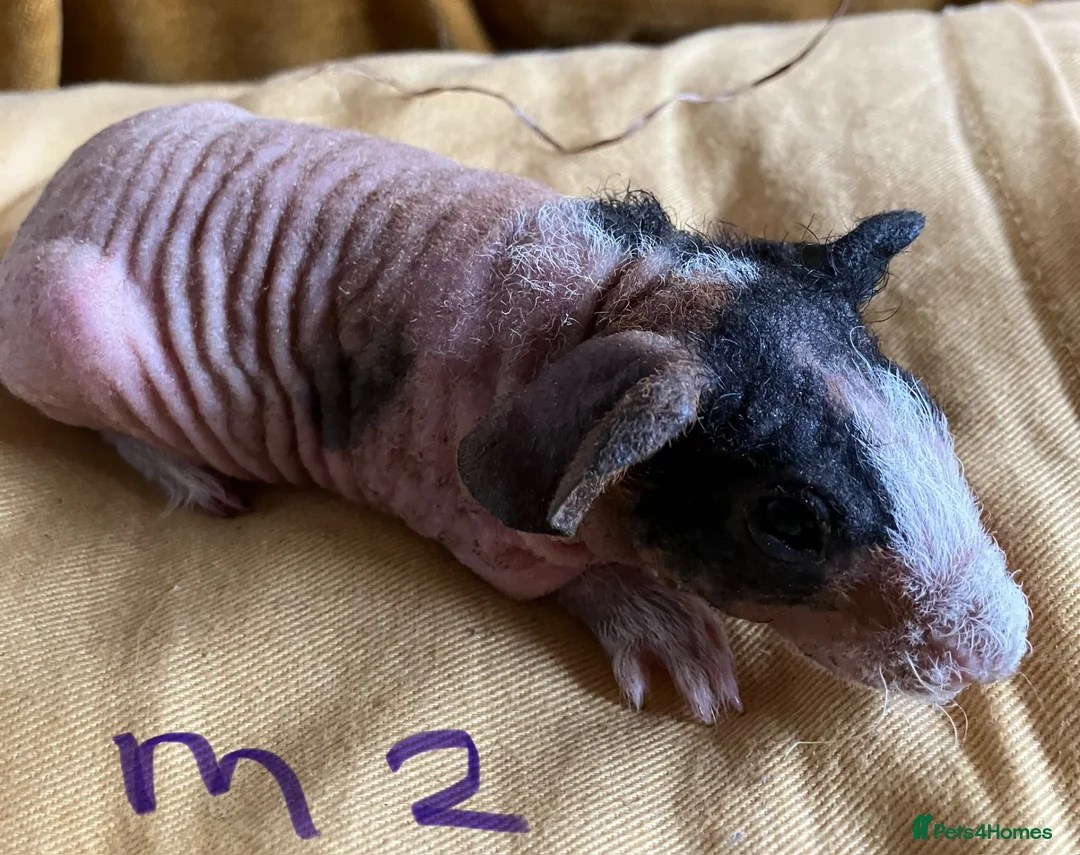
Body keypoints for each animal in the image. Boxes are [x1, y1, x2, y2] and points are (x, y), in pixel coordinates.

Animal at [0, 101, 1029, 723]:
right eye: (788, 520)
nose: (1002, 651)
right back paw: (204, 484)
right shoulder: (471, 517)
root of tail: (46, 207)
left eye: (932, 414)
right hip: (70, 317)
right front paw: (690, 660)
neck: (621, 304)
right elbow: (554, 574)